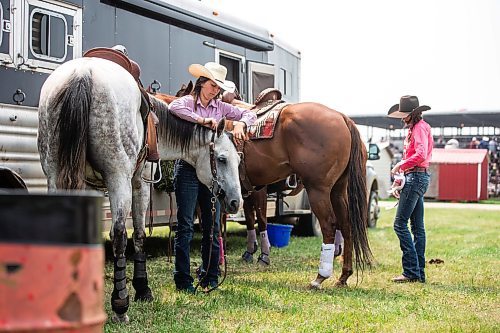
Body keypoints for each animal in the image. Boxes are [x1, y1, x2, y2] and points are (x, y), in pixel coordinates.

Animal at [38, 57, 243, 322]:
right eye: (221, 159)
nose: (235, 202)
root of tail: (83, 74)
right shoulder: (140, 183)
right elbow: (138, 234)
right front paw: (142, 289)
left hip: (54, 174)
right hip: (118, 178)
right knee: (118, 235)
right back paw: (120, 307)